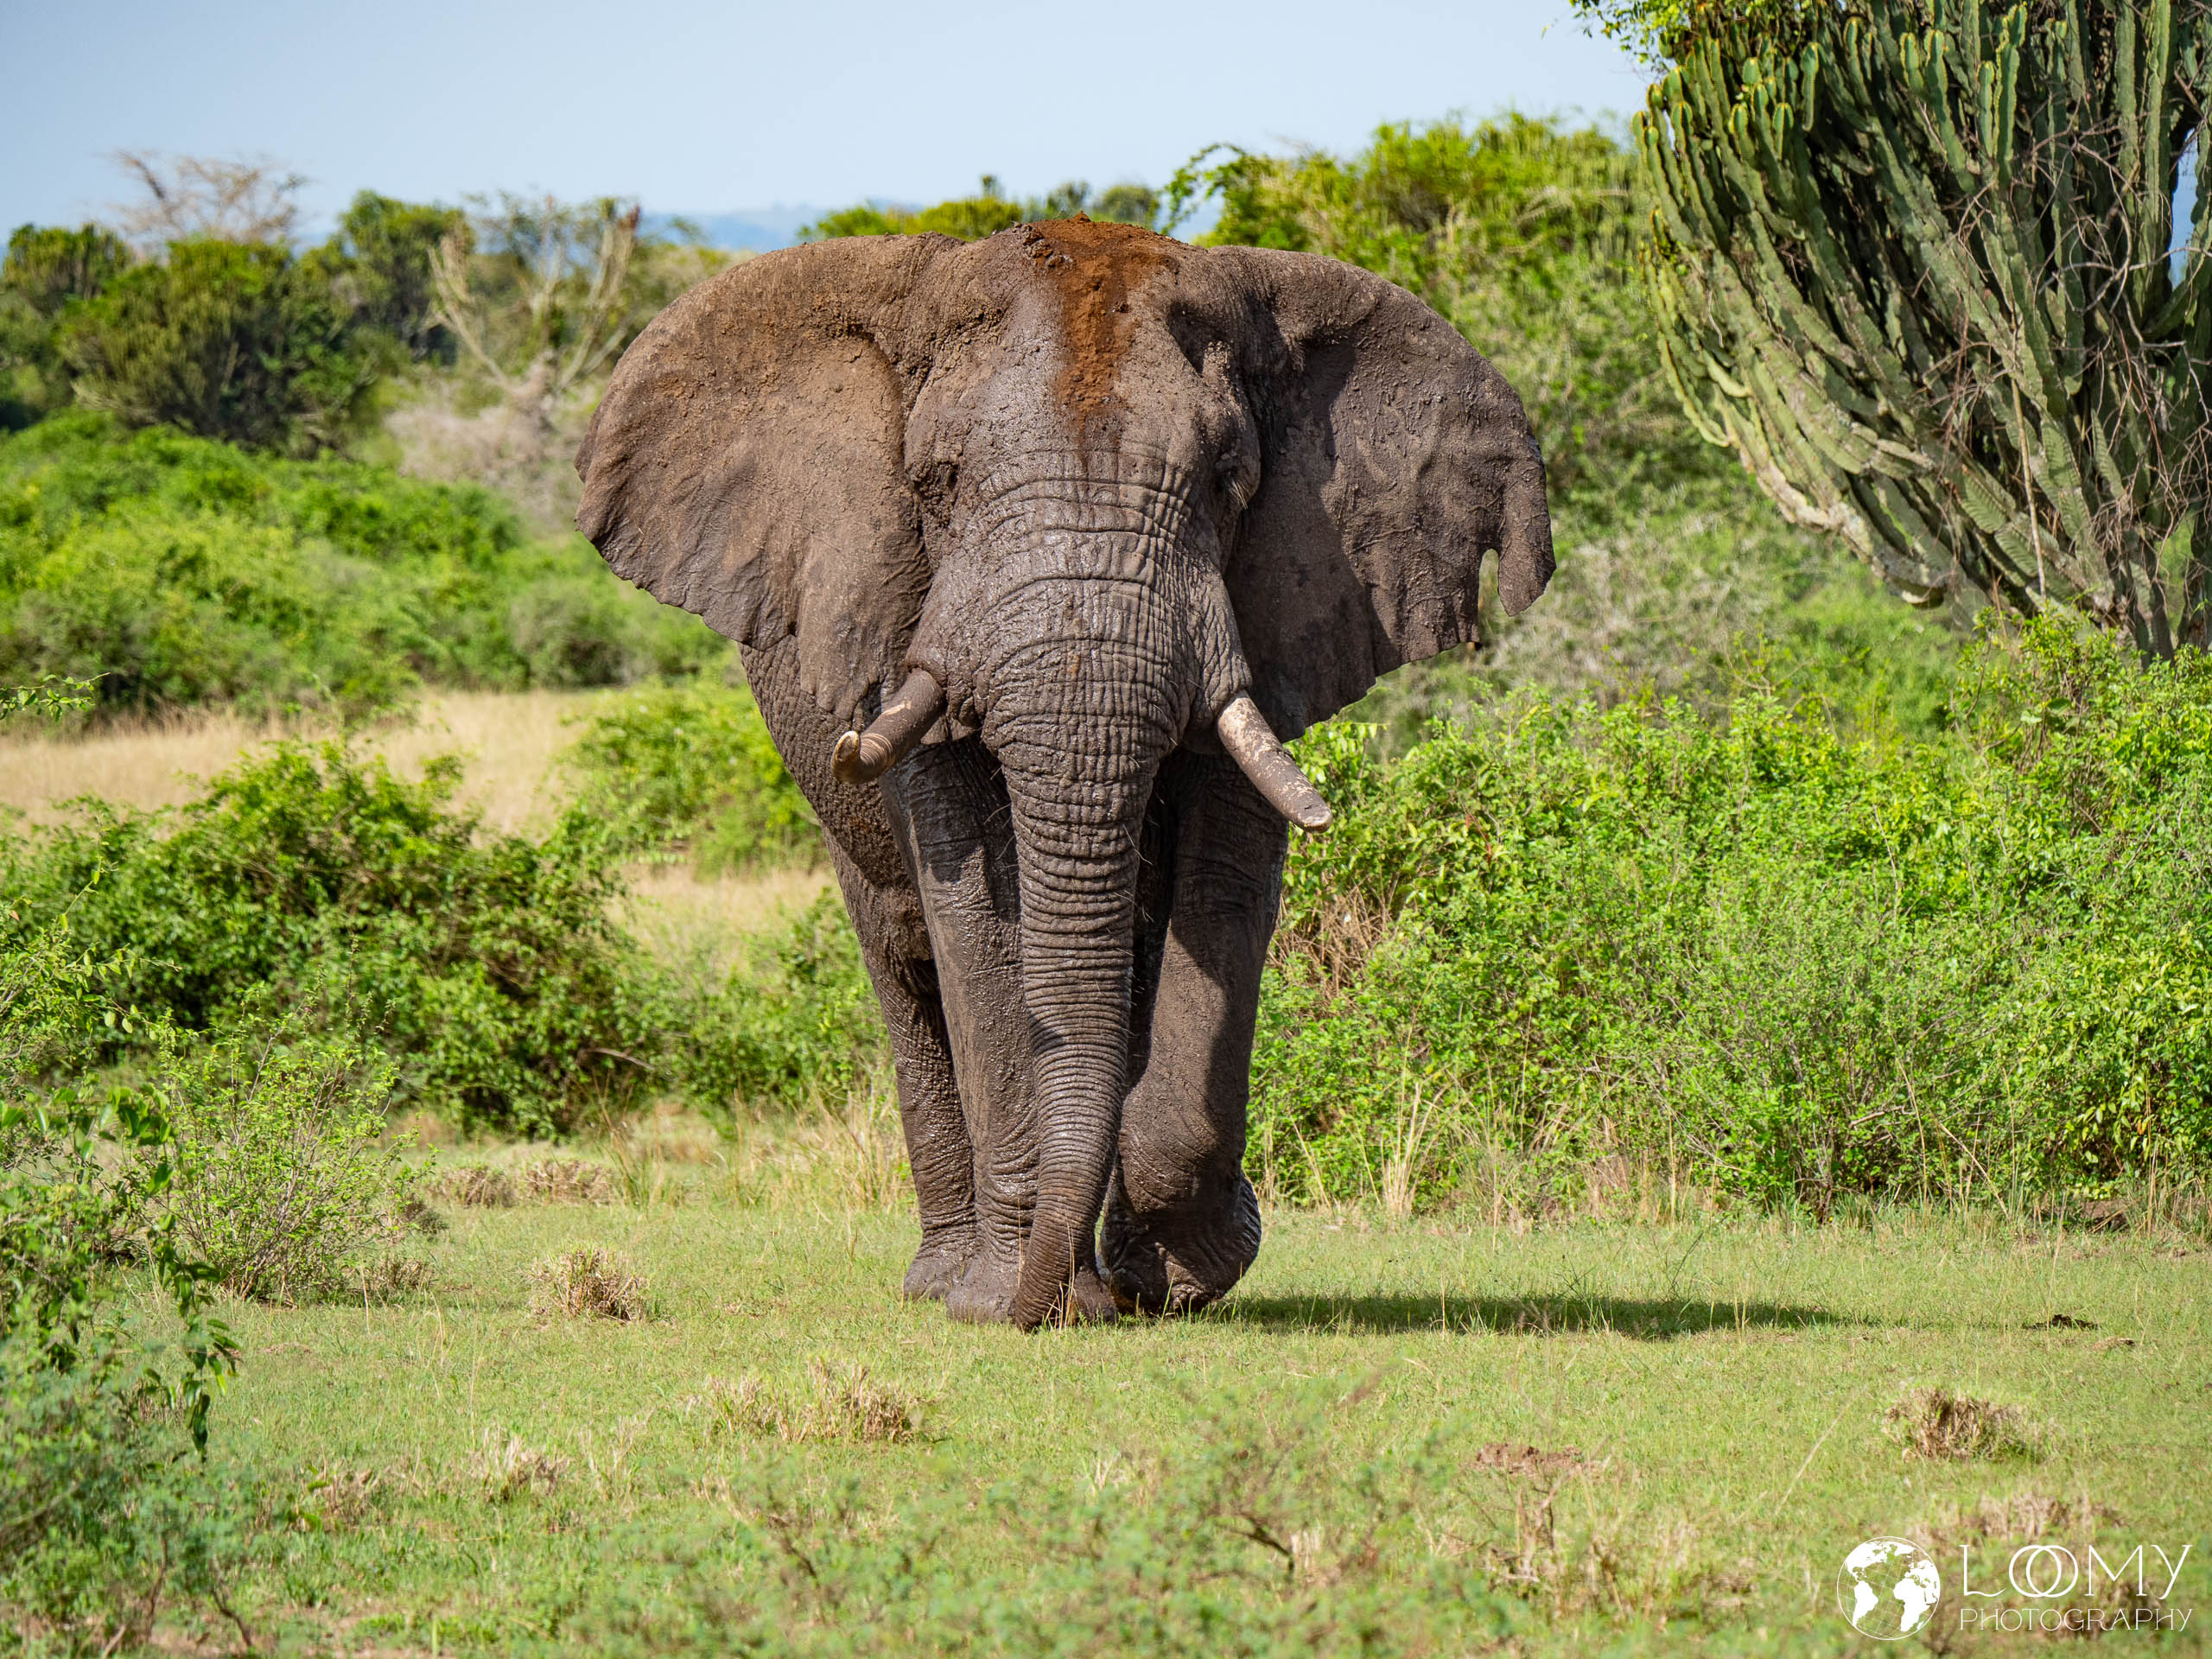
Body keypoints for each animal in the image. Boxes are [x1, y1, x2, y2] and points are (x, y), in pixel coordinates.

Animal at [575, 218, 1554, 1330]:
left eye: (1229, 480)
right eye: (935, 483)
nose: (1049, 1303)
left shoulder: (1267, 607)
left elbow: (1222, 883)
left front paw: (1180, 1272)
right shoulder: (903, 616)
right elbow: (972, 908)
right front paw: (1008, 1298)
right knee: (904, 963)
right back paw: (949, 1277)